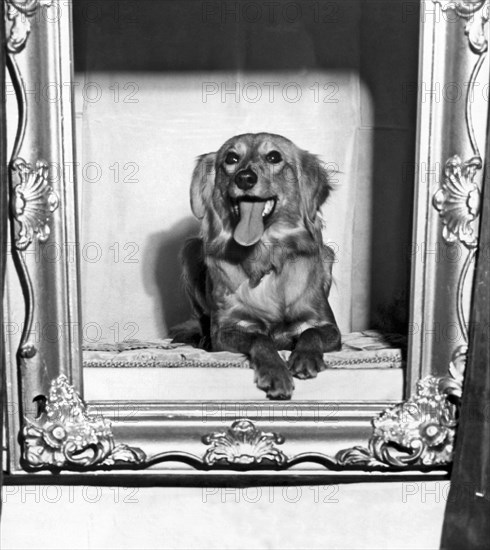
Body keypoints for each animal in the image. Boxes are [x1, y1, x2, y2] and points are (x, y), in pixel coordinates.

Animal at [175, 134, 340, 402]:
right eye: (231, 158)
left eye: (274, 157)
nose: (245, 178)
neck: (264, 255)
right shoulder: (226, 330)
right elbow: (260, 338)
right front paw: (275, 372)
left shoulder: (330, 327)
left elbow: (310, 333)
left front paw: (305, 358)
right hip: (189, 251)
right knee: (202, 319)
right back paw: (203, 340)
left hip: (328, 255)